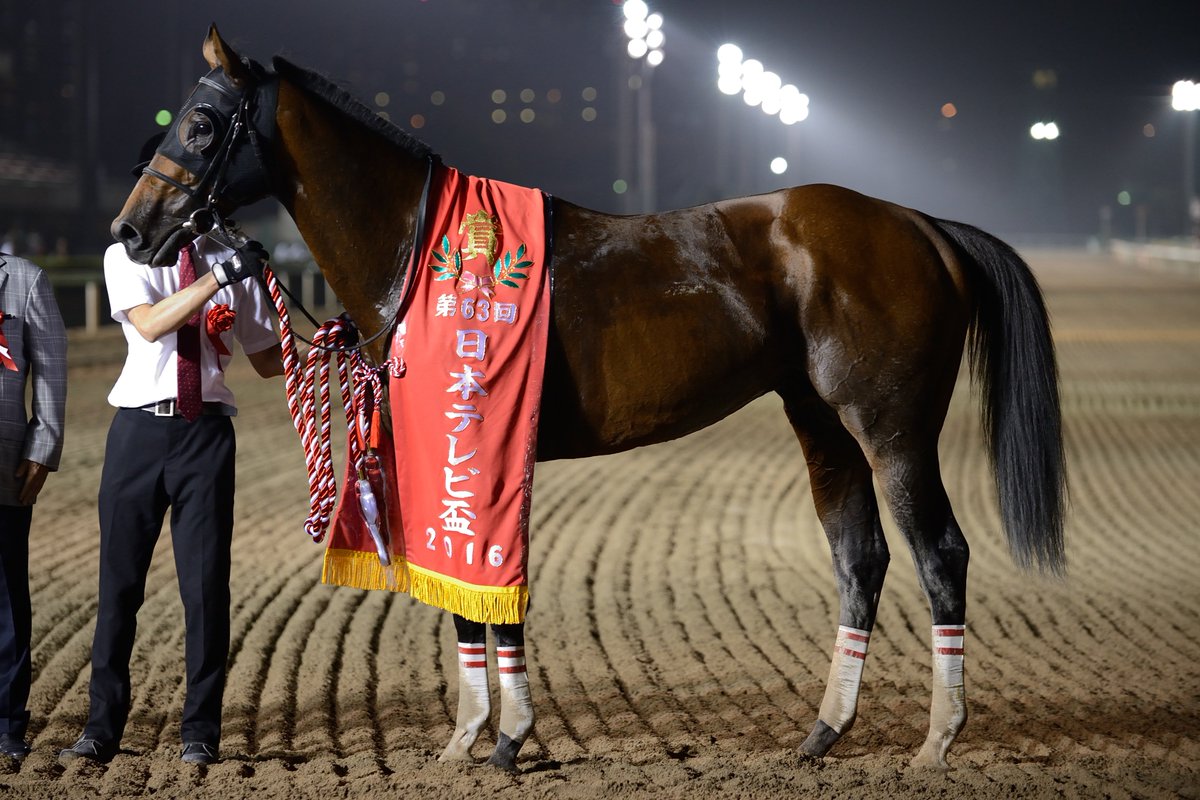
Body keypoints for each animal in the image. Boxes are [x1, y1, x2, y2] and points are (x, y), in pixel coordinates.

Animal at [111, 26, 1066, 773]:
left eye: (201, 121)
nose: (131, 228)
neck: (430, 256)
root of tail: (923, 226)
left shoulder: (491, 443)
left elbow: (497, 585)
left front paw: (508, 737)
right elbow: (464, 589)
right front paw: (467, 738)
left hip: (893, 428)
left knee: (941, 554)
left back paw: (938, 739)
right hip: (820, 421)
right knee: (859, 557)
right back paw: (825, 731)